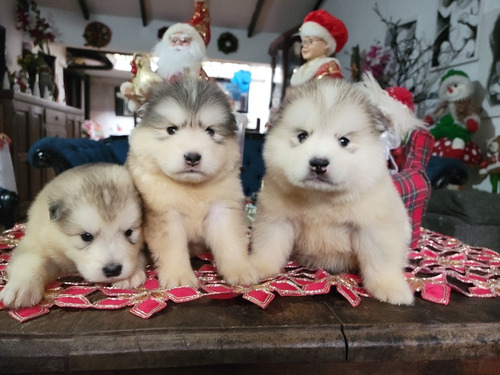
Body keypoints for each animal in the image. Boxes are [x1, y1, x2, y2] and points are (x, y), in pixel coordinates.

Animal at [0, 164, 146, 308]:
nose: (113, 270)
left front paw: (130, 275)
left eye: (129, 232)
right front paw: (21, 287)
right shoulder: (35, 242)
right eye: (86, 236)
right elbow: (29, 261)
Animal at [127, 78, 256, 290]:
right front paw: (179, 277)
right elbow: (172, 248)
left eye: (211, 131)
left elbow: (230, 241)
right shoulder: (166, 214)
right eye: (171, 130)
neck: (191, 187)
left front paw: (240, 269)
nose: (193, 157)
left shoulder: (223, 209)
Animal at [250, 78, 414, 306]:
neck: (321, 197)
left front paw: (392, 288)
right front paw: (256, 267)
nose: (318, 163)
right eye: (302, 136)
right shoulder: (276, 221)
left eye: (344, 141)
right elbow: (268, 247)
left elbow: (381, 260)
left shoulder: (375, 229)